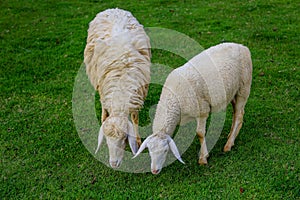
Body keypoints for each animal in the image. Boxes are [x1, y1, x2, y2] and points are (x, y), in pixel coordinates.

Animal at [84, 7, 150, 168]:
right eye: (107, 141)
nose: (113, 164)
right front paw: (103, 119)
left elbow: (135, 119)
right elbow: (104, 111)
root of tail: (114, 8)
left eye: (124, 138)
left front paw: (138, 141)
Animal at [132, 43, 252, 174]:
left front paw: (203, 158)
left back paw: (228, 145)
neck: (173, 100)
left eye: (165, 150)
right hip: (233, 91)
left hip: (243, 87)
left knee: (239, 115)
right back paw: (231, 136)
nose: (154, 171)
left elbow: (200, 133)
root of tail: (242, 46)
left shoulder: (202, 110)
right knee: (236, 113)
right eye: (149, 150)